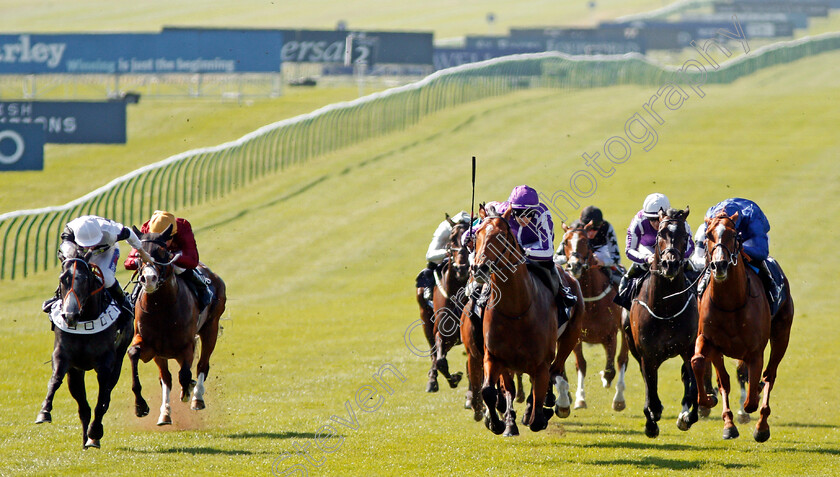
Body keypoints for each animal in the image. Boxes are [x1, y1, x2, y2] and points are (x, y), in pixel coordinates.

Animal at [36, 251, 134, 448]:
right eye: (62, 279)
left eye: (85, 279)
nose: (69, 315)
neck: (84, 320)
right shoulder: (65, 358)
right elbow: (55, 380)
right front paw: (44, 411)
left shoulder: (106, 363)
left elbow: (102, 399)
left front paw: (95, 432)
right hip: (76, 372)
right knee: (84, 407)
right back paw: (85, 439)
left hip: (119, 359)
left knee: (106, 396)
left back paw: (93, 437)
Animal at [129, 225, 226, 426]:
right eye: (138, 255)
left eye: (163, 253)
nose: (148, 279)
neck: (160, 308)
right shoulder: (150, 346)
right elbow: (134, 354)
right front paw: (140, 406)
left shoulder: (187, 345)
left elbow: (185, 374)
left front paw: (188, 391)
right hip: (161, 353)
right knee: (166, 378)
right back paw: (165, 413)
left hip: (210, 328)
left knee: (202, 365)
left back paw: (197, 398)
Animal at [560, 221, 628, 410]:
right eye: (566, 242)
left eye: (585, 241)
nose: (574, 265)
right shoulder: (576, 336)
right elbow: (581, 364)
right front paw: (580, 399)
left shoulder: (611, 334)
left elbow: (611, 369)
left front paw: (606, 379)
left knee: (622, 360)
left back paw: (619, 399)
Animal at [624, 206, 704, 436]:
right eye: (661, 233)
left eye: (685, 236)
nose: (670, 264)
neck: (667, 308)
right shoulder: (648, 355)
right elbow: (651, 391)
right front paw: (651, 421)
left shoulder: (688, 349)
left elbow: (693, 386)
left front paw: (687, 416)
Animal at [688, 212, 796, 442]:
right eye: (708, 234)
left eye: (733, 234)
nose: (719, 265)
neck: (731, 303)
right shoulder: (709, 341)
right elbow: (703, 365)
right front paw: (713, 406)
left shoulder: (755, 350)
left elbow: (752, 397)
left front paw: (749, 405)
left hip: (781, 335)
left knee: (769, 375)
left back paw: (762, 426)